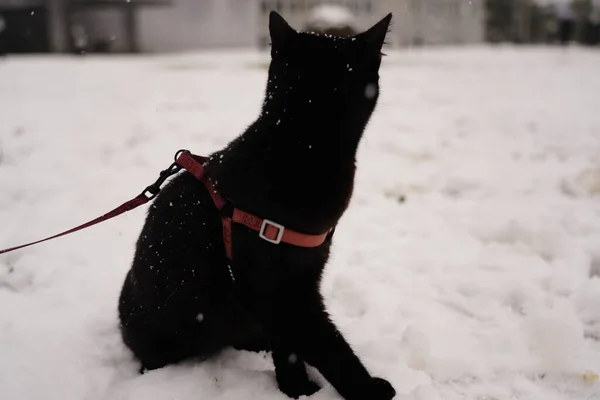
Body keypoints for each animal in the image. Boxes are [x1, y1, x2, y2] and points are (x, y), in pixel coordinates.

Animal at [119, 10, 396, 398]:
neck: (304, 150)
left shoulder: (301, 278)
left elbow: (290, 344)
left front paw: (296, 388)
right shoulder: (277, 288)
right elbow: (324, 343)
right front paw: (362, 388)